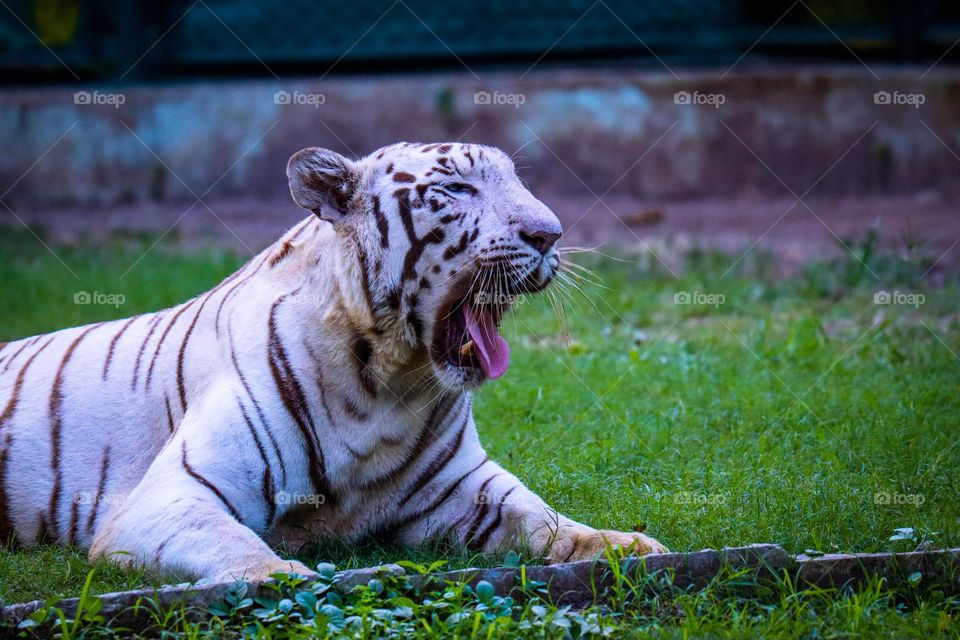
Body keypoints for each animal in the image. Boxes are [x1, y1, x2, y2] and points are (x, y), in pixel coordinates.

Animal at [0, 142, 667, 582]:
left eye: (516, 183)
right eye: (457, 189)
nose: (550, 235)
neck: (391, 384)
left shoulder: (462, 488)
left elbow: (547, 521)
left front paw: (627, 546)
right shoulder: (169, 495)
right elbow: (238, 548)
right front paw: (284, 580)